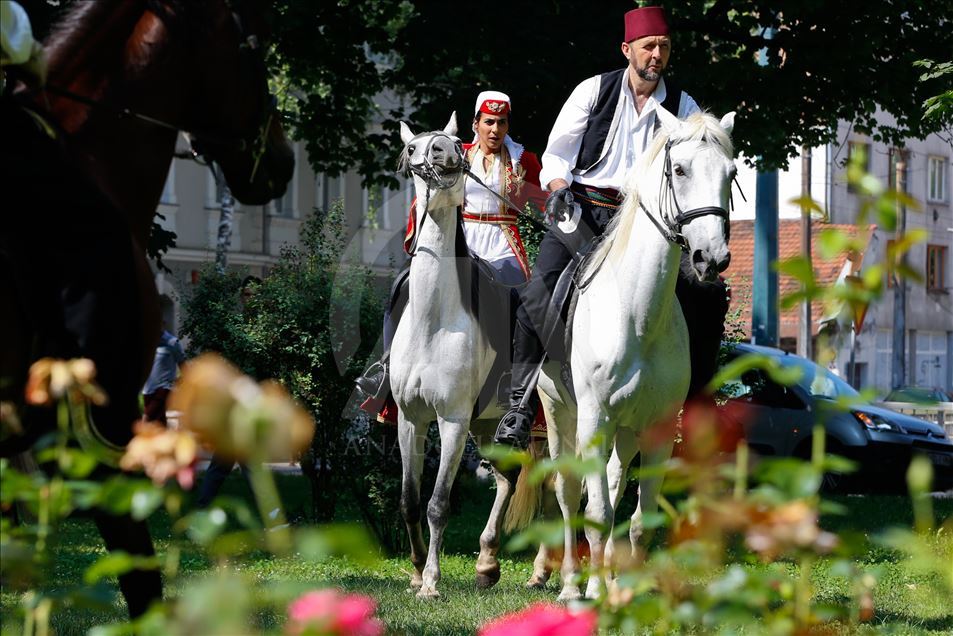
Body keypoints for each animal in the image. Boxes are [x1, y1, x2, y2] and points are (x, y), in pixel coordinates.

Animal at [390, 115, 548, 600]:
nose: (440, 153)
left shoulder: (453, 420)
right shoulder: (411, 418)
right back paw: (487, 563)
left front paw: (431, 583)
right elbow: (409, 499)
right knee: (507, 479)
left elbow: (438, 503)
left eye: (451, 143)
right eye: (416, 145)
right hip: (488, 425)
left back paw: (543, 569)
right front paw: (416, 572)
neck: (433, 320)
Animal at [536, 109, 736, 600]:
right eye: (678, 169)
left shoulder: (658, 428)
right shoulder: (593, 420)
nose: (711, 259)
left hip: (626, 430)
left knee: (611, 479)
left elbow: (639, 520)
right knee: (568, 491)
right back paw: (571, 584)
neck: (636, 315)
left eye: (731, 173)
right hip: (558, 411)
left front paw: (628, 593)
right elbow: (597, 513)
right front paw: (593, 593)